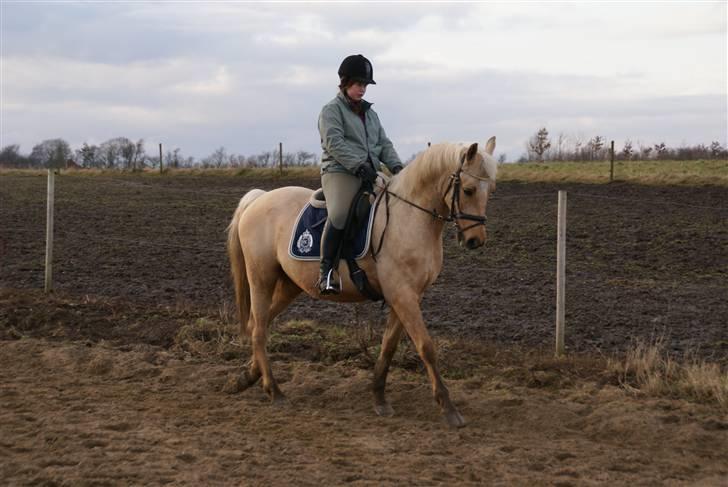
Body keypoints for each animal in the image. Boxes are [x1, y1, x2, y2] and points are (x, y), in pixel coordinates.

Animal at [228, 137, 498, 428]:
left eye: (491, 190)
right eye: (469, 190)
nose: (475, 240)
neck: (409, 218)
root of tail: (259, 198)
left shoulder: (407, 296)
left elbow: (388, 346)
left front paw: (379, 398)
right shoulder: (403, 295)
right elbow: (426, 347)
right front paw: (448, 408)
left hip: (289, 285)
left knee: (259, 323)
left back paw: (247, 377)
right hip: (261, 278)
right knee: (258, 329)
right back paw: (274, 391)